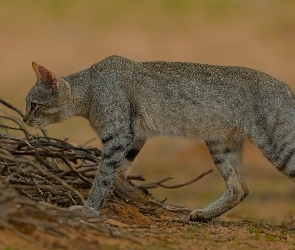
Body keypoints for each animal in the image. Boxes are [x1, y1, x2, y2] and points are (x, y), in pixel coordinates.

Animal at [23, 54, 295, 221]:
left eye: (33, 105)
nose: (25, 119)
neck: (88, 91)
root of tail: (286, 87)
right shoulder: (134, 136)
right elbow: (118, 174)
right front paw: (138, 194)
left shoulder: (118, 137)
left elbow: (102, 177)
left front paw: (89, 209)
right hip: (220, 143)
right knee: (240, 187)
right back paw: (204, 215)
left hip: (278, 146)